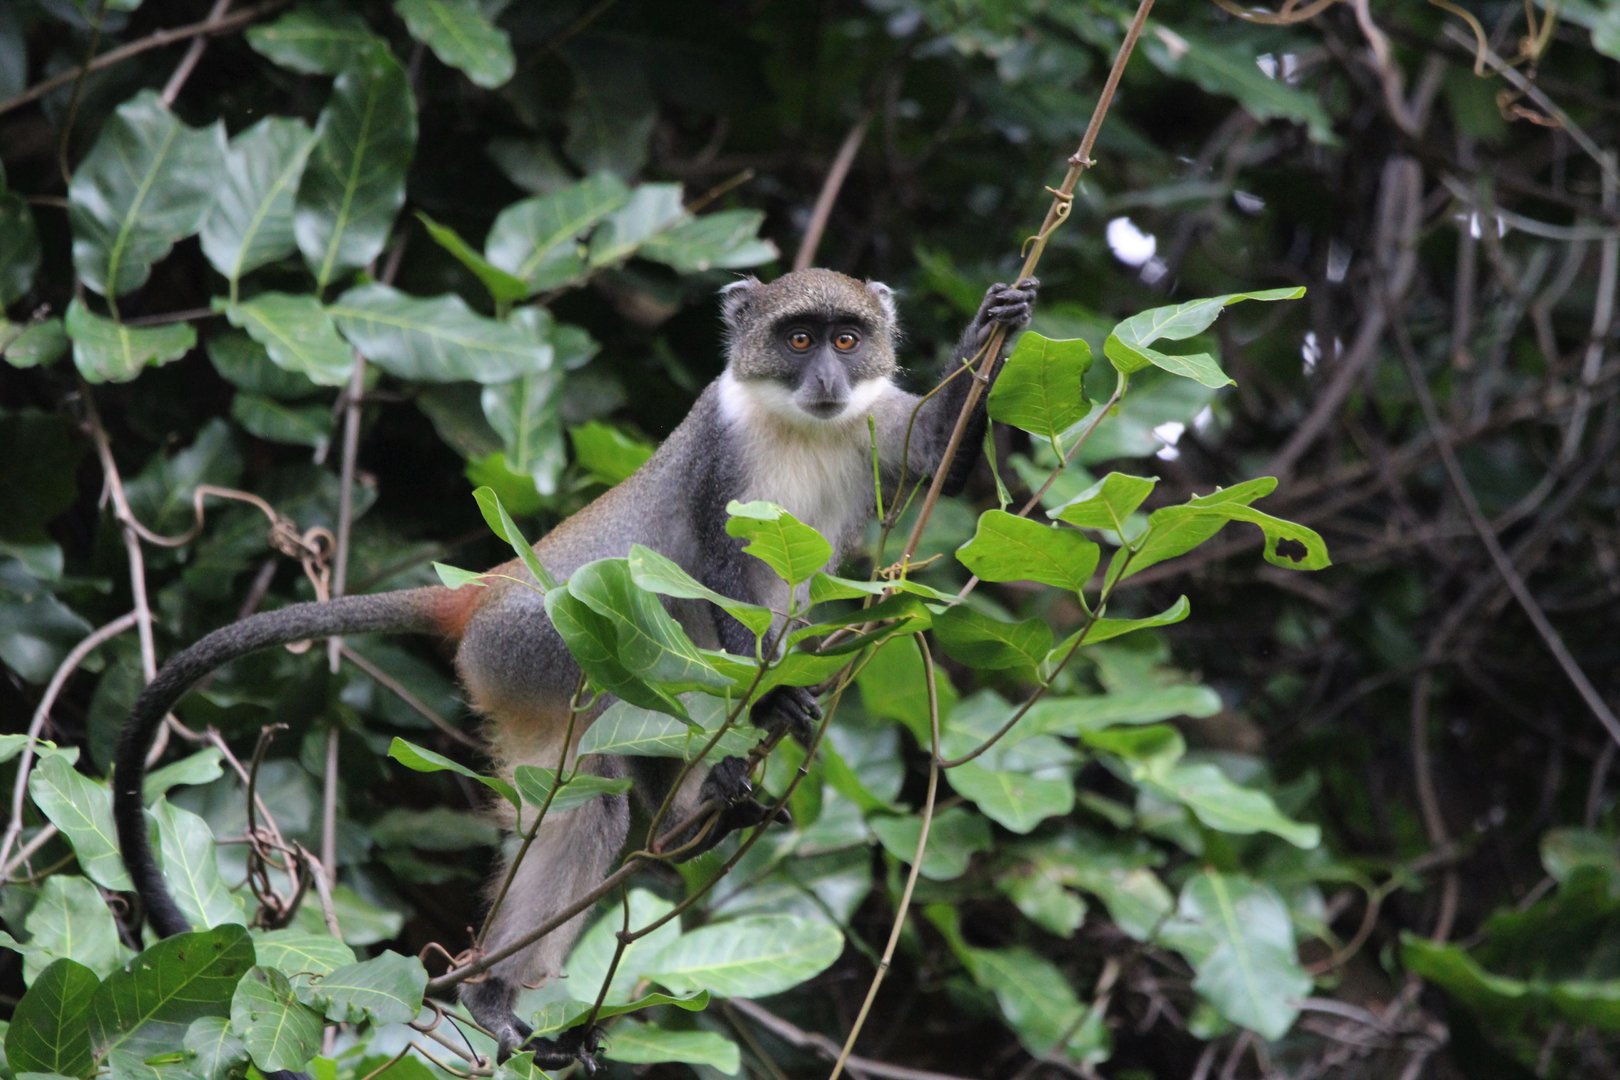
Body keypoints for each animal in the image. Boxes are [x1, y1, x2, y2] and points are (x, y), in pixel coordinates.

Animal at [113, 269, 1037, 1073]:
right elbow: (712, 573)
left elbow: (935, 459)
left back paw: (681, 825)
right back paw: (494, 991)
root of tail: (482, 593)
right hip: (539, 655)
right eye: (798, 337)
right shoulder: (718, 453)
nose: (826, 377)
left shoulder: (872, 420)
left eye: (849, 338)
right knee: (591, 793)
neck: (800, 424)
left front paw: (996, 325)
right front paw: (772, 706)